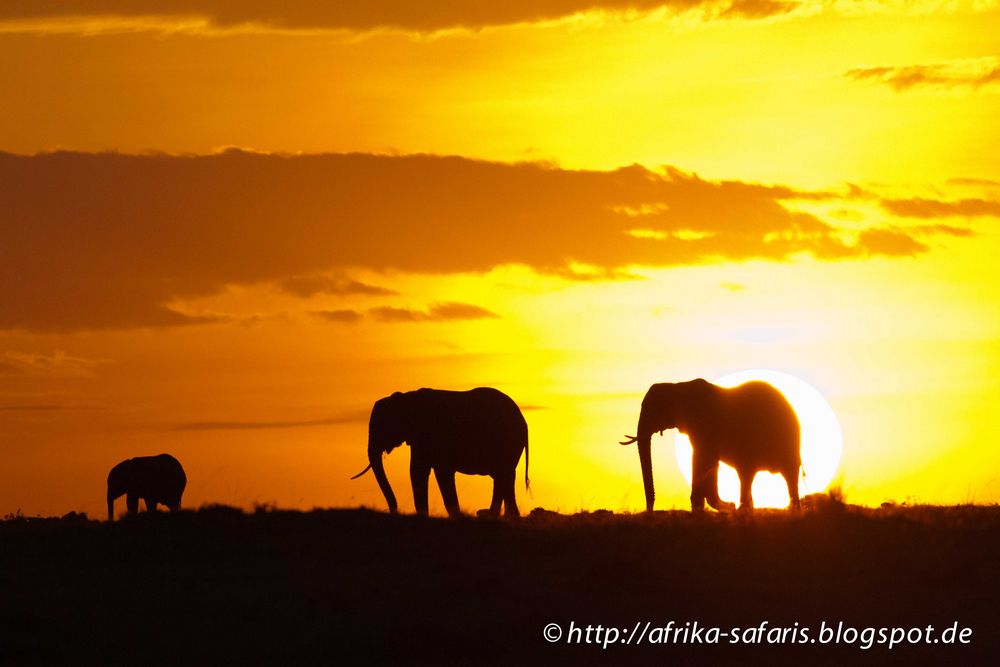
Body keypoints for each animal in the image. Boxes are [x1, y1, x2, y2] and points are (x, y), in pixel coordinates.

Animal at [356, 386, 536, 520]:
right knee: (505, 477)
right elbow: (418, 471)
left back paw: (493, 515)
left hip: (507, 442)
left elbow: (433, 472)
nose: (393, 510)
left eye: (381, 426)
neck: (407, 398)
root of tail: (524, 421)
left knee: (502, 476)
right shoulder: (419, 438)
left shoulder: (431, 435)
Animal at [620, 380, 800, 512]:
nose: (650, 510)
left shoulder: (705, 426)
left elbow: (703, 459)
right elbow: (707, 461)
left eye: (655, 409)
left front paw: (723, 506)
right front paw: (722, 506)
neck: (678, 387)